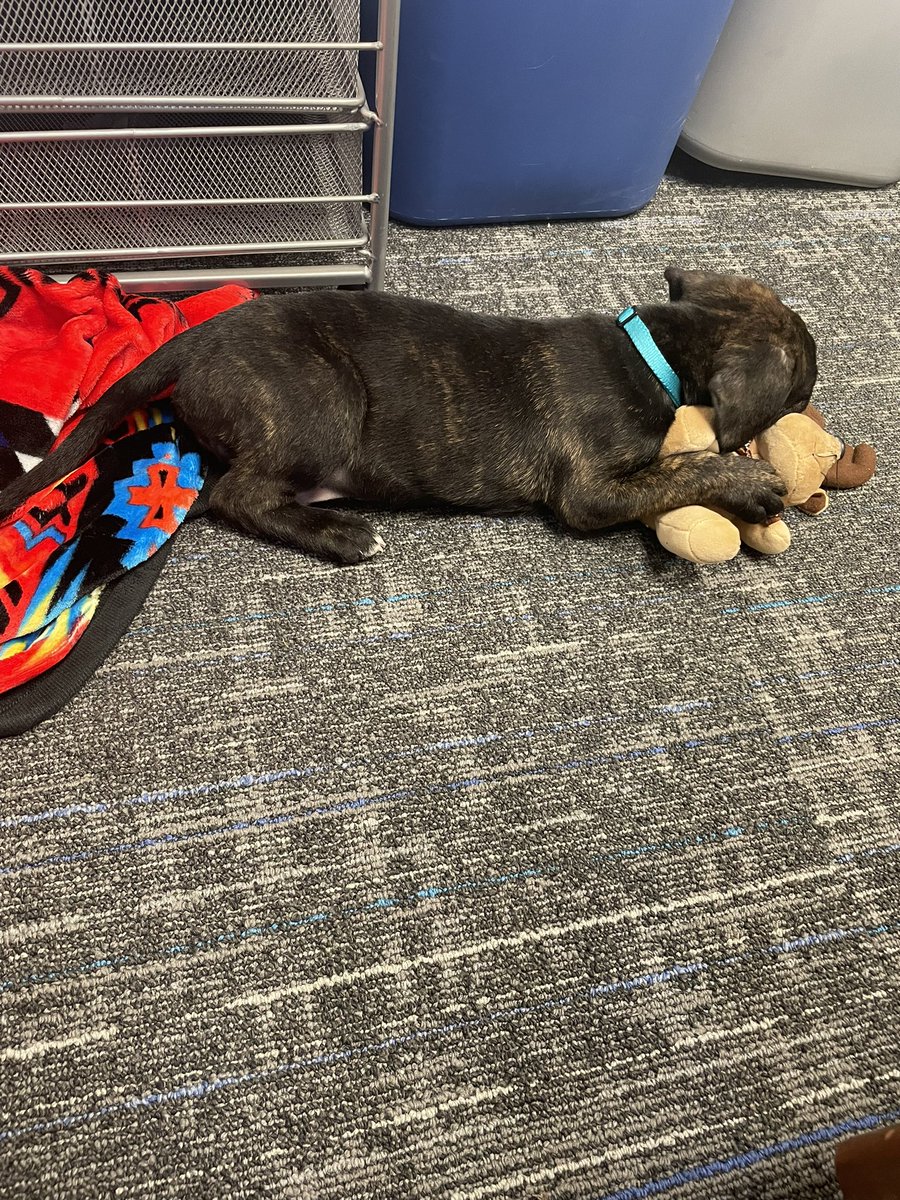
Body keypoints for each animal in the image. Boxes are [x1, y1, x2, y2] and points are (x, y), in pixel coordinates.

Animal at [0, 266, 816, 561]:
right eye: (803, 386)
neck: (654, 345)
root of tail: (195, 339)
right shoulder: (588, 491)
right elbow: (683, 468)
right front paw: (750, 485)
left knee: (213, 492)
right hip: (322, 405)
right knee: (237, 494)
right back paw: (343, 536)